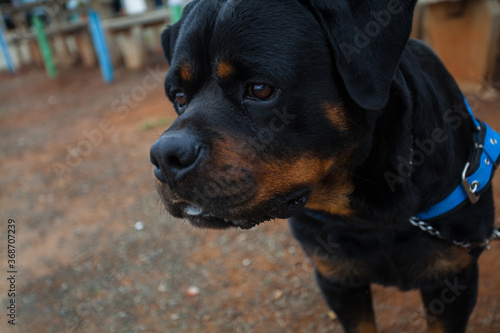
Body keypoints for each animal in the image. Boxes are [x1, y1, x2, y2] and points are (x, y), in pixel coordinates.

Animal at [149, 1, 500, 330]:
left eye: (260, 89)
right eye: (178, 97)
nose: (164, 156)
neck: (370, 213)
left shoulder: (454, 278)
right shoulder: (337, 280)